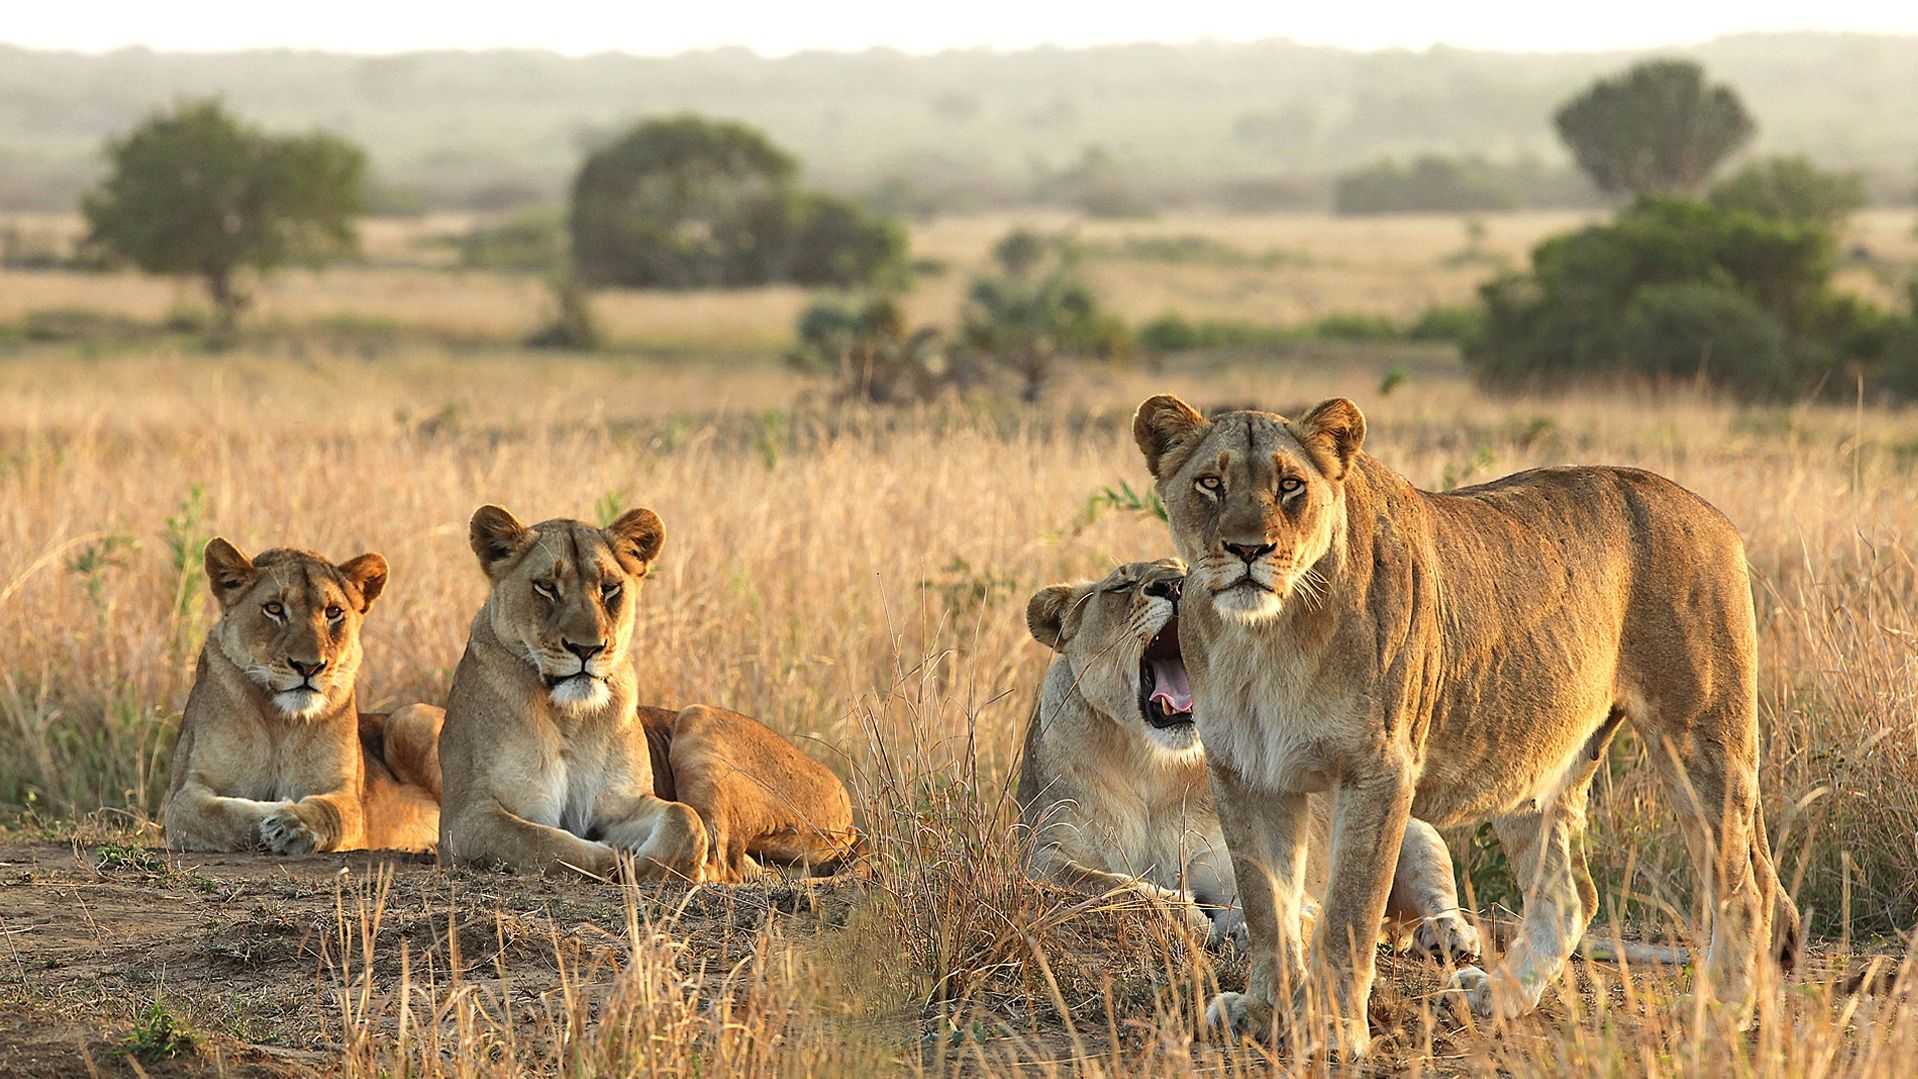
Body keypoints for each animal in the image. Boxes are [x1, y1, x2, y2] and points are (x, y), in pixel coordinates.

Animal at [163, 541, 442, 854]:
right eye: (274, 608)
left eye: (333, 612)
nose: (309, 666)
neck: (280, 722)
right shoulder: (184, 793)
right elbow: (220, 815)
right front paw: (274, 812)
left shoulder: (347, 796)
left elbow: (331, 812)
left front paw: (293, 823)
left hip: (407, 718)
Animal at [436, 505, 860, 881]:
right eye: (546, 587)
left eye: (610, 589)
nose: (587, 649)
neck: (570, 715)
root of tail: (847, 807)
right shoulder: (466, 819)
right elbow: (547, 843)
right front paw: (616, 858)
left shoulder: (621, 805)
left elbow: (684, 819)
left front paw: (650, 861)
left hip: (697, 717)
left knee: (731, 861)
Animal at [1021, 559, 1481, 966]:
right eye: (1120, 586)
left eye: (1186, 569)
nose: (1174, 585)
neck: (1155, 766)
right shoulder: (1041, 854)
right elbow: (1107, 884)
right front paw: (1185, 914)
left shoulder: (1232, 864)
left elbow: (1272, 901)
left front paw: (1254, 929)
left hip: (1413, 832)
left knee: (1436, 893)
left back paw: (1449, 936)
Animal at [1131, 394, 1800, 1057]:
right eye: (1211, 484)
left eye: (1290, 485)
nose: (1249, 550)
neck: (1262, 637)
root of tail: (1716, 516)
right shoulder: (1245, 773)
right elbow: (1266, 903)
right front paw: (1263, 1012)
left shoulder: (1379, 769)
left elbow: (1349, 911)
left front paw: (1333, 1028)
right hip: (1539, 760)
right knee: (1569, 895)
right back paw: (1497, 996)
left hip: (1700, 737)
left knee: (1746, 891)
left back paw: (1720, 1011)